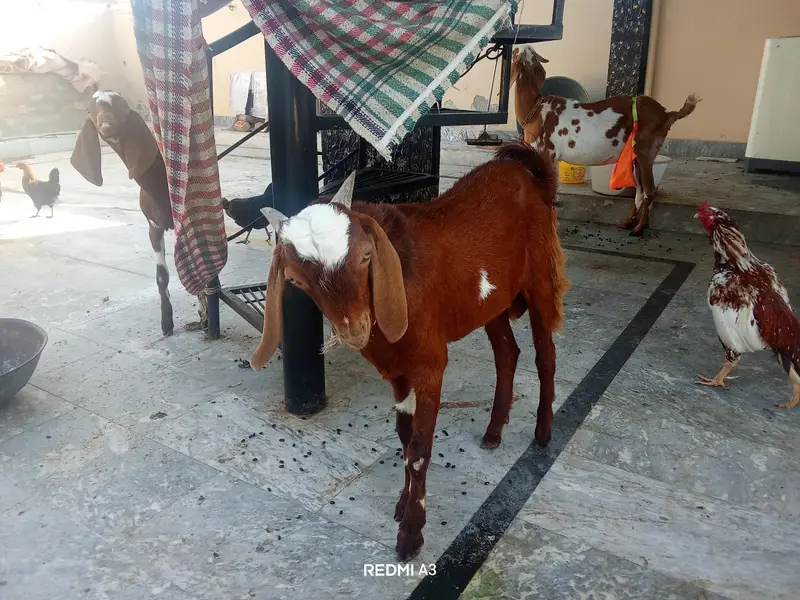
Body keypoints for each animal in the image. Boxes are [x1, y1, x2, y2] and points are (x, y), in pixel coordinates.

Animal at [70, 90, 206, 336]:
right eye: (89, 109)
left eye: (122, 105)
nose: (106, 123)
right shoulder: (153, 227)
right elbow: (161, 276)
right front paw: (166, 323)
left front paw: (204, 314)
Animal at [250, 143, 569, 561]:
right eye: (298, 281)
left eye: (365, 256)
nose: (355, 329)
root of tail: (532, 174)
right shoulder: (396, 370)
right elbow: (403, 435)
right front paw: (402, 504)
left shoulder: (431, 363)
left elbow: (418, 447)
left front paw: (412, 534)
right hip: (492, 302)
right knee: (507, 353)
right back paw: (494, 431)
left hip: (540, 279)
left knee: (545, 355)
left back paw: (543, 433)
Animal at [512, 45, 701, 236]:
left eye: (513, 53)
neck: (535, 110)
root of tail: (667, 113)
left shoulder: (546, 153)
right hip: (636, 157)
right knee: (640, 190)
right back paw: (627, 223)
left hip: (645, 150)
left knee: (649, 191)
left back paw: (639, 228)